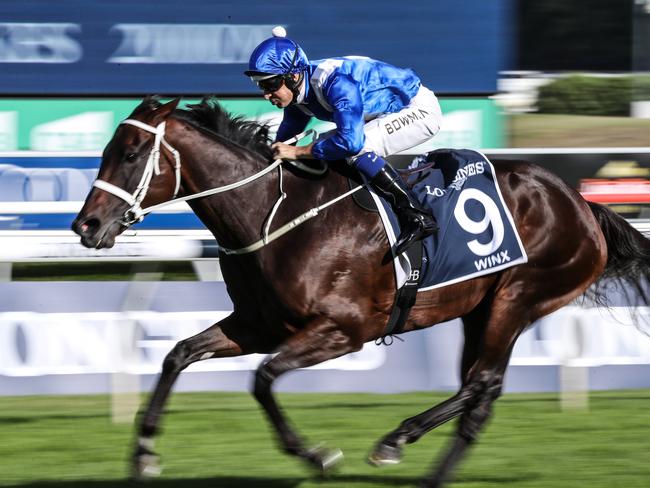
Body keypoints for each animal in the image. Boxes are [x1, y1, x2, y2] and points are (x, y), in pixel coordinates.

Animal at [71, 97, 648, 486]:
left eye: (131, 153)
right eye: (106, 150)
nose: (85, 226)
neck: (273, 213)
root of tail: (581, 203)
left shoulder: (344, 330)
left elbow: (263, 379)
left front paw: (316, 455)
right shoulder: (258, 325)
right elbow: (177, 354)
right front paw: (143, 453)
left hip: (520, 295)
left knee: (482, 383)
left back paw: (397, 441)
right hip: (479, 307)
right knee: (482, 391)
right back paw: (423, 464)